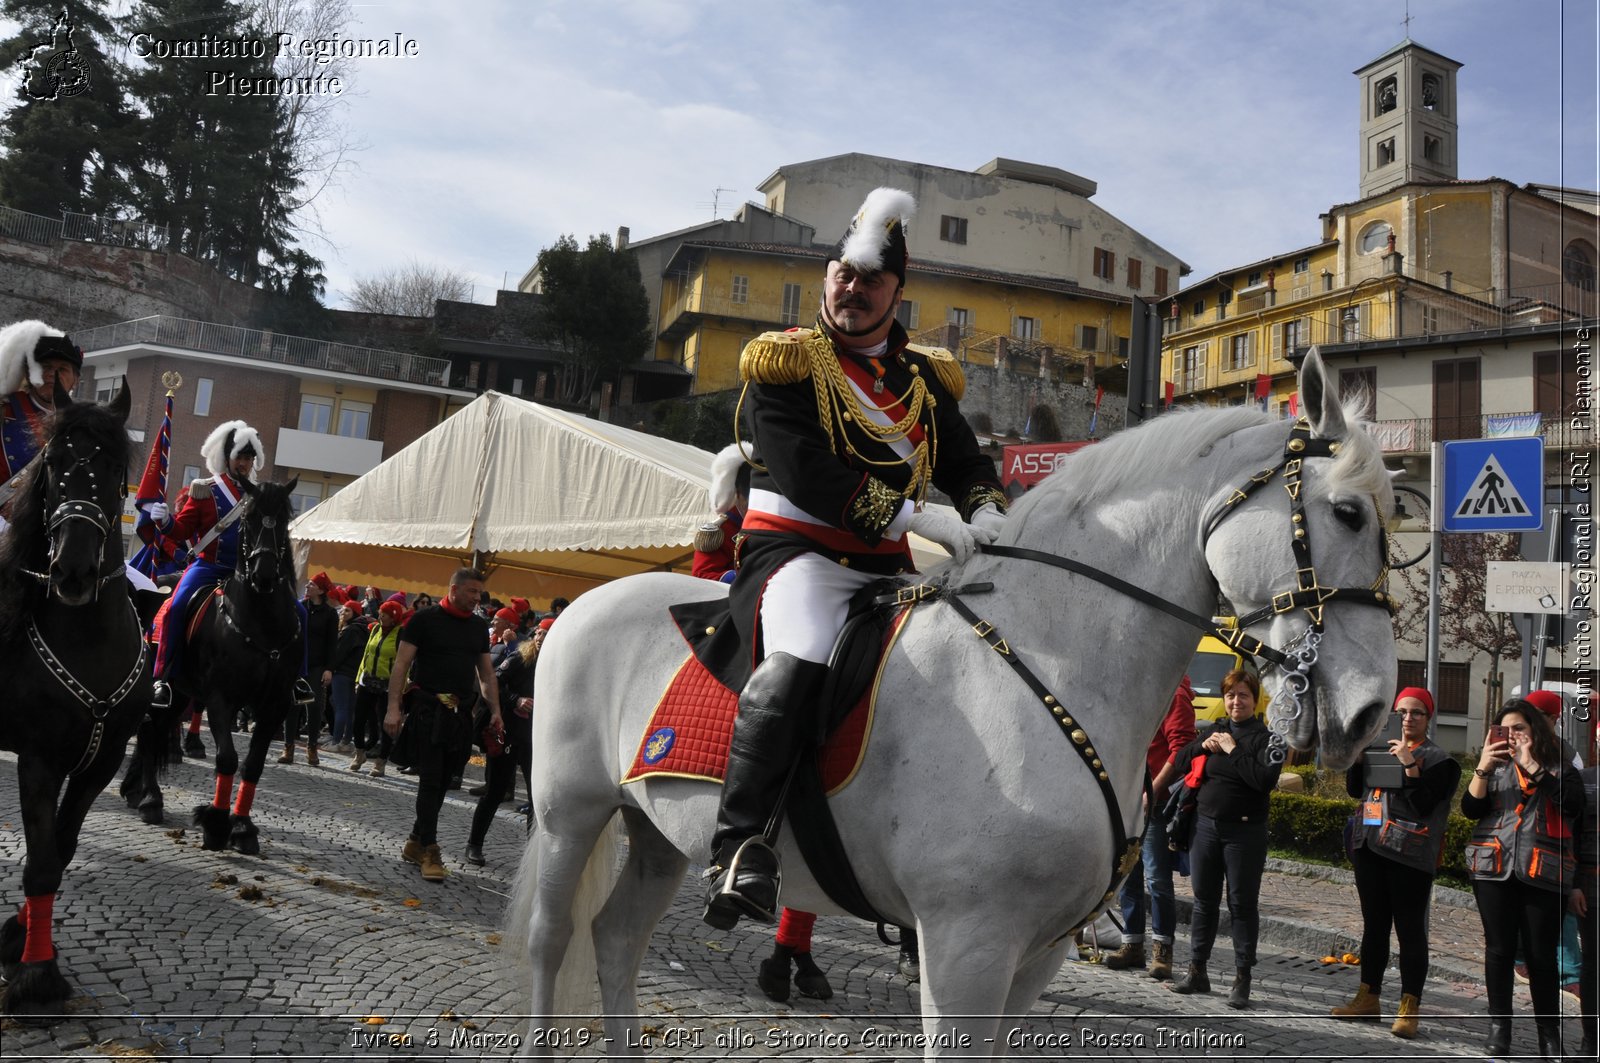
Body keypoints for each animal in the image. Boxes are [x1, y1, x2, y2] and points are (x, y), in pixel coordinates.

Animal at [121, 473, 302, 858]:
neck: (261, 625)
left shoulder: (275, 705)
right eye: (249, 519)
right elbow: (228, 759)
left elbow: (253, 766)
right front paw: (217, 824)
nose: (264, 574)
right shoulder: (222, 699)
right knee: (149, 731)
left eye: (283, 520)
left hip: (179, 694)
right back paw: (150, 800)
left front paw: (243, 828)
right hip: (162, 689)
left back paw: (137, 791)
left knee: (156, 731)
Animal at [512, 348, 1401, 1056]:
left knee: (615, 939)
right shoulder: (966, 944)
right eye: (1348, 512)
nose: (1369, 715)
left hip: (657, 830)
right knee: (551, 940)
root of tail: (583, 605)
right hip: (569, 814)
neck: (1054, 655)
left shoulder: (1035, 954)